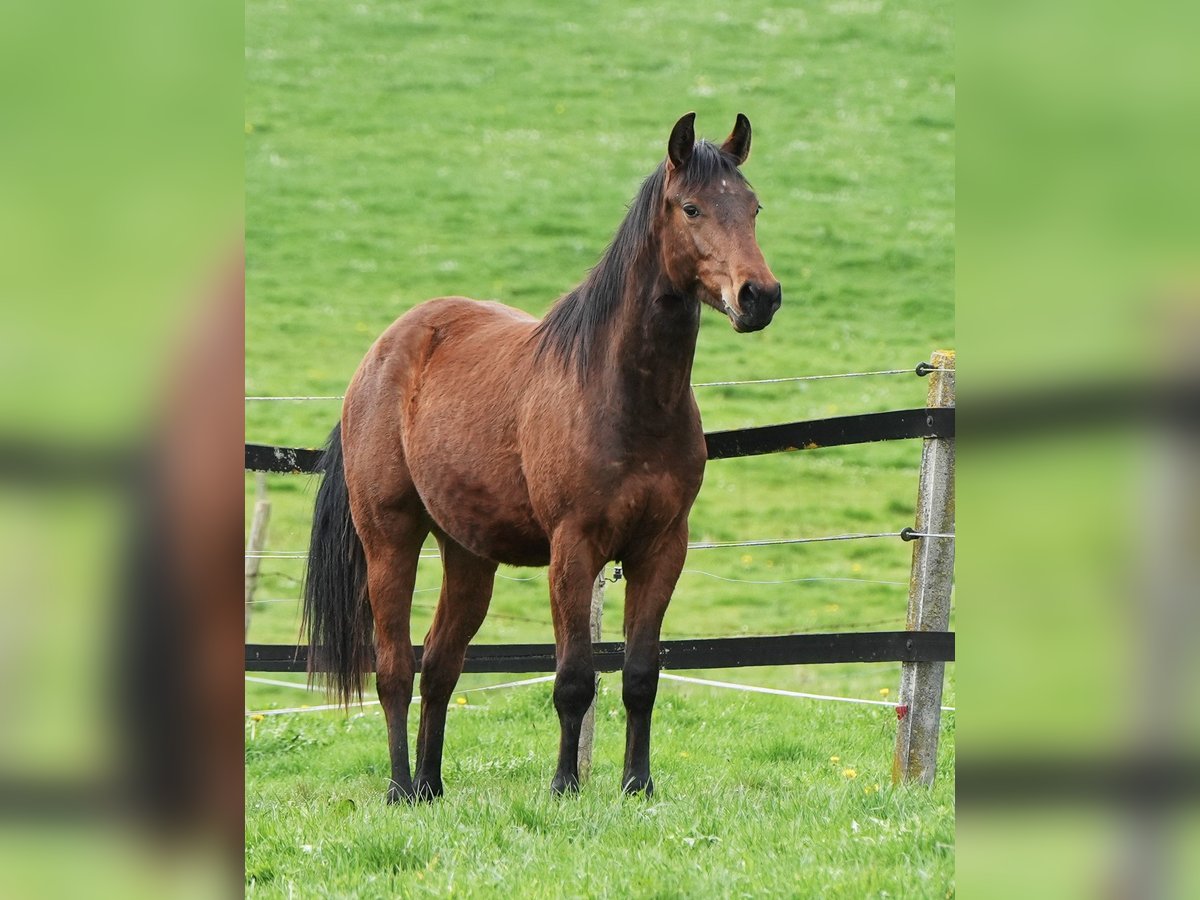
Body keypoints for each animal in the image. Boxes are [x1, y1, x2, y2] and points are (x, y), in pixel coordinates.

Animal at [304, 112, 782, 801]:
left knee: (440, 665)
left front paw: (638, 786)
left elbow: (641, 676)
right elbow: (574, 679)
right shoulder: (572, 549)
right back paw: (398, 788)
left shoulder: (662, 549)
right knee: (394, 667)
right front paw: (564, 787)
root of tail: (381, 354)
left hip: (468, 555)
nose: (759, 296)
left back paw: (430, 788)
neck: (624, 396)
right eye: (691, 207)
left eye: (752, 206)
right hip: (389, 539)